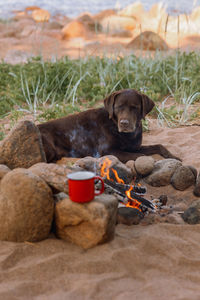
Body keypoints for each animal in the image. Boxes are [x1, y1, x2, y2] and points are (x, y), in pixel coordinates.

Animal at [38, 88, 180, 163]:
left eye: (134, 107)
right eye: (118, 107)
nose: (124, 123)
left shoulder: (134, 147)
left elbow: (159, 146)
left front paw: (174, 157)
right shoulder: (109, 151)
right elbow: (142, 156)